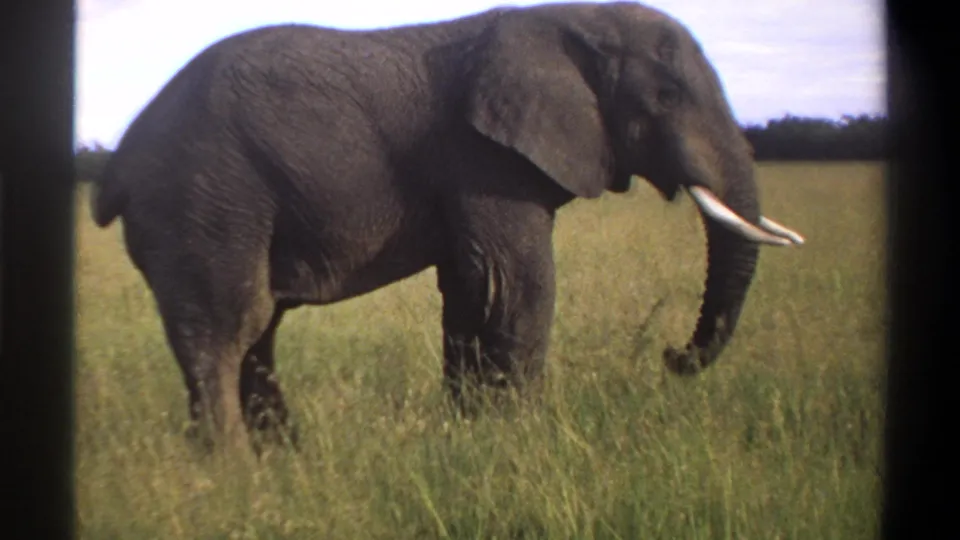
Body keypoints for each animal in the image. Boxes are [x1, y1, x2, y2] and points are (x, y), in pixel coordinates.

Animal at [90, 1, 804, 451]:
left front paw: (470, 434)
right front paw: (521, 442)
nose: (672, 356)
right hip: (203, 200)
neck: (572, 18)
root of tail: (119, 160)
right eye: (666, 97)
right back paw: (235, 473)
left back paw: (282, 461)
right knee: (226, 328)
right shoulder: (483, 155)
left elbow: (470, 290)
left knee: (255, 336)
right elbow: (516, 284)